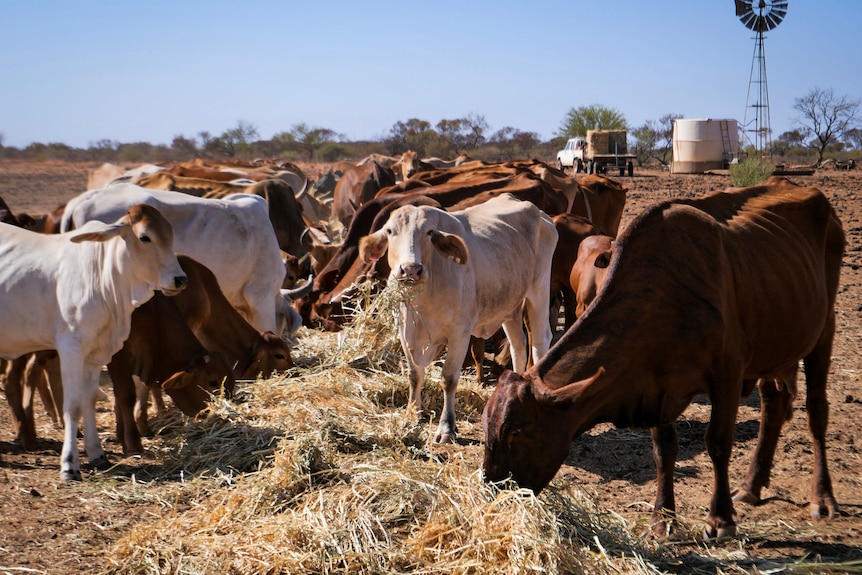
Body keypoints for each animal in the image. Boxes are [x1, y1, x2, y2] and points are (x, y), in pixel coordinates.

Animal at [0, 204, 188, 481]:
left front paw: (97, 454)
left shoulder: (97, 353)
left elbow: (88, 399)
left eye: (171, 235)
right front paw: (69, 465)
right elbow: (72, 404)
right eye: (145, 237)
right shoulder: (71, 348)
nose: (180, 279)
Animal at [359, 194, 558, 444]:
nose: (411, 269)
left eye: (429, 232)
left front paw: (446, 428)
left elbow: (449, 378)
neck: (423, 299)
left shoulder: (459, 333)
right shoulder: (405, 330)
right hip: (509, 305)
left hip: (539, 291)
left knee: (540, 342)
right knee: (518, 345)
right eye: (389, 231)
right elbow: (414, 374)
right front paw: (413, 412)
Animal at [482, 177, 844, 539]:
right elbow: (663, 450)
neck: (667, 295)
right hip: (774, 346)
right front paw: (663, 517)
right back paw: (752, 486)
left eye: (517, 432)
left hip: (823, 328)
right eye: (488, 425)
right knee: (773, 405)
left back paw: (822, 497)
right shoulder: (654, 383)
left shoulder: (727, 372)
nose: (493, 491)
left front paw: (720, 518)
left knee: (816, 411)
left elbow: (718, 442)